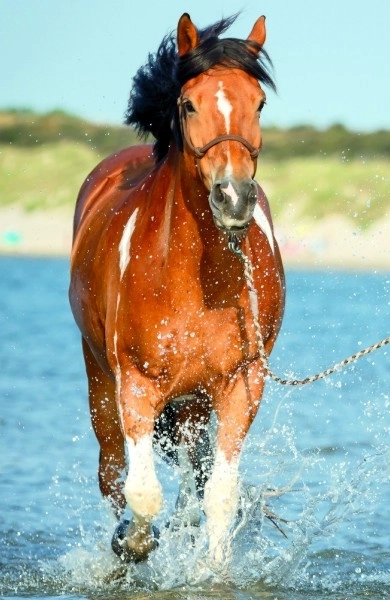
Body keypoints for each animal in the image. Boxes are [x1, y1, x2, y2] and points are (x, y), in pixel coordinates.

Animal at [68, 14, 284, 568]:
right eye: (188, 104)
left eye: (259, 103)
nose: (233, 197)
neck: (195, 277)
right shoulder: (137, 384)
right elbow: (142, 493)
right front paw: (133, 542)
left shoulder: (241, 385)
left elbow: (220, 495)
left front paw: (211, 569)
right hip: (101, 381)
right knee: (111, 473)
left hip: (192, 403)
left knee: (191, 476)